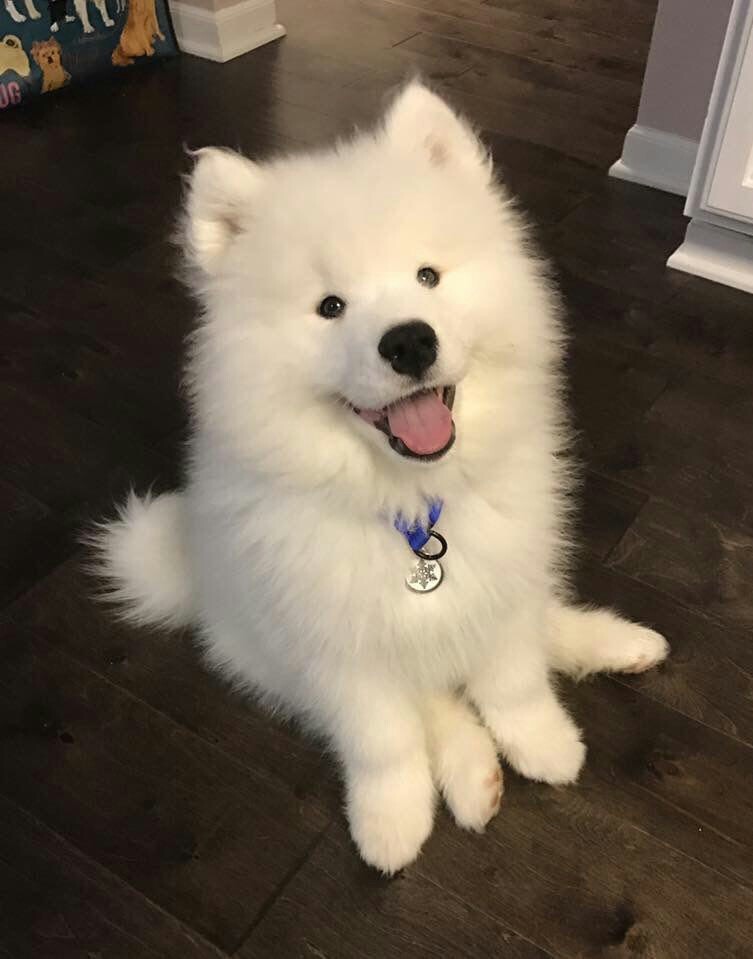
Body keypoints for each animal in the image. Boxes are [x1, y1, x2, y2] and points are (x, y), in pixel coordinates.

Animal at [97, 82, 668, 876]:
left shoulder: (500, 587)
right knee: (431, 702)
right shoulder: (338, 650)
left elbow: (515, 677)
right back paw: (472, 774)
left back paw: (616, 643)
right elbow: (386, 739)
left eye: (428, 276)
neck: (414, 512)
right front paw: (392, 821)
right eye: (330, 307)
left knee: (538, 624)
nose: (408, 340)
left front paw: (543, 741)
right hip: (268, 654)